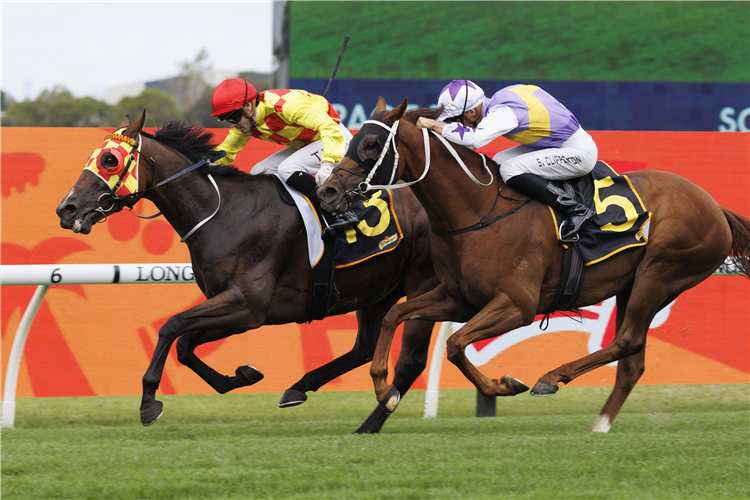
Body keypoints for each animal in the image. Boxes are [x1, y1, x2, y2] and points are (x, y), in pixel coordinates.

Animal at [57, 111, 440, 432]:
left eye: (109, 160)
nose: (66, 209)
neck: (222, 212)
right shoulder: (235, 308)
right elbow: (186, 346)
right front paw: (242, 376)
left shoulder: (248, 305)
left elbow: (171, 327)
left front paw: (149, 401)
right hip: (378, 288)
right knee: (364, 347)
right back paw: (301, 388)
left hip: (425, 283)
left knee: (410, 360)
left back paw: (373, 417)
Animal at [318, 97, 750, 434]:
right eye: (352, 139)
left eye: (371, 144)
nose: (328, 191)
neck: (477, 210)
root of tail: (715, 207)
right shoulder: (458, 298)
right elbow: (395, 315)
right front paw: (385, 391)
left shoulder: (516, 305)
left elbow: (456, 345)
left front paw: (504, 384)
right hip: (633, 286)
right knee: (632, 360)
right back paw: (600, 423)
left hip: (658, 275)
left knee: (627, 340)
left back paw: (551, 378)